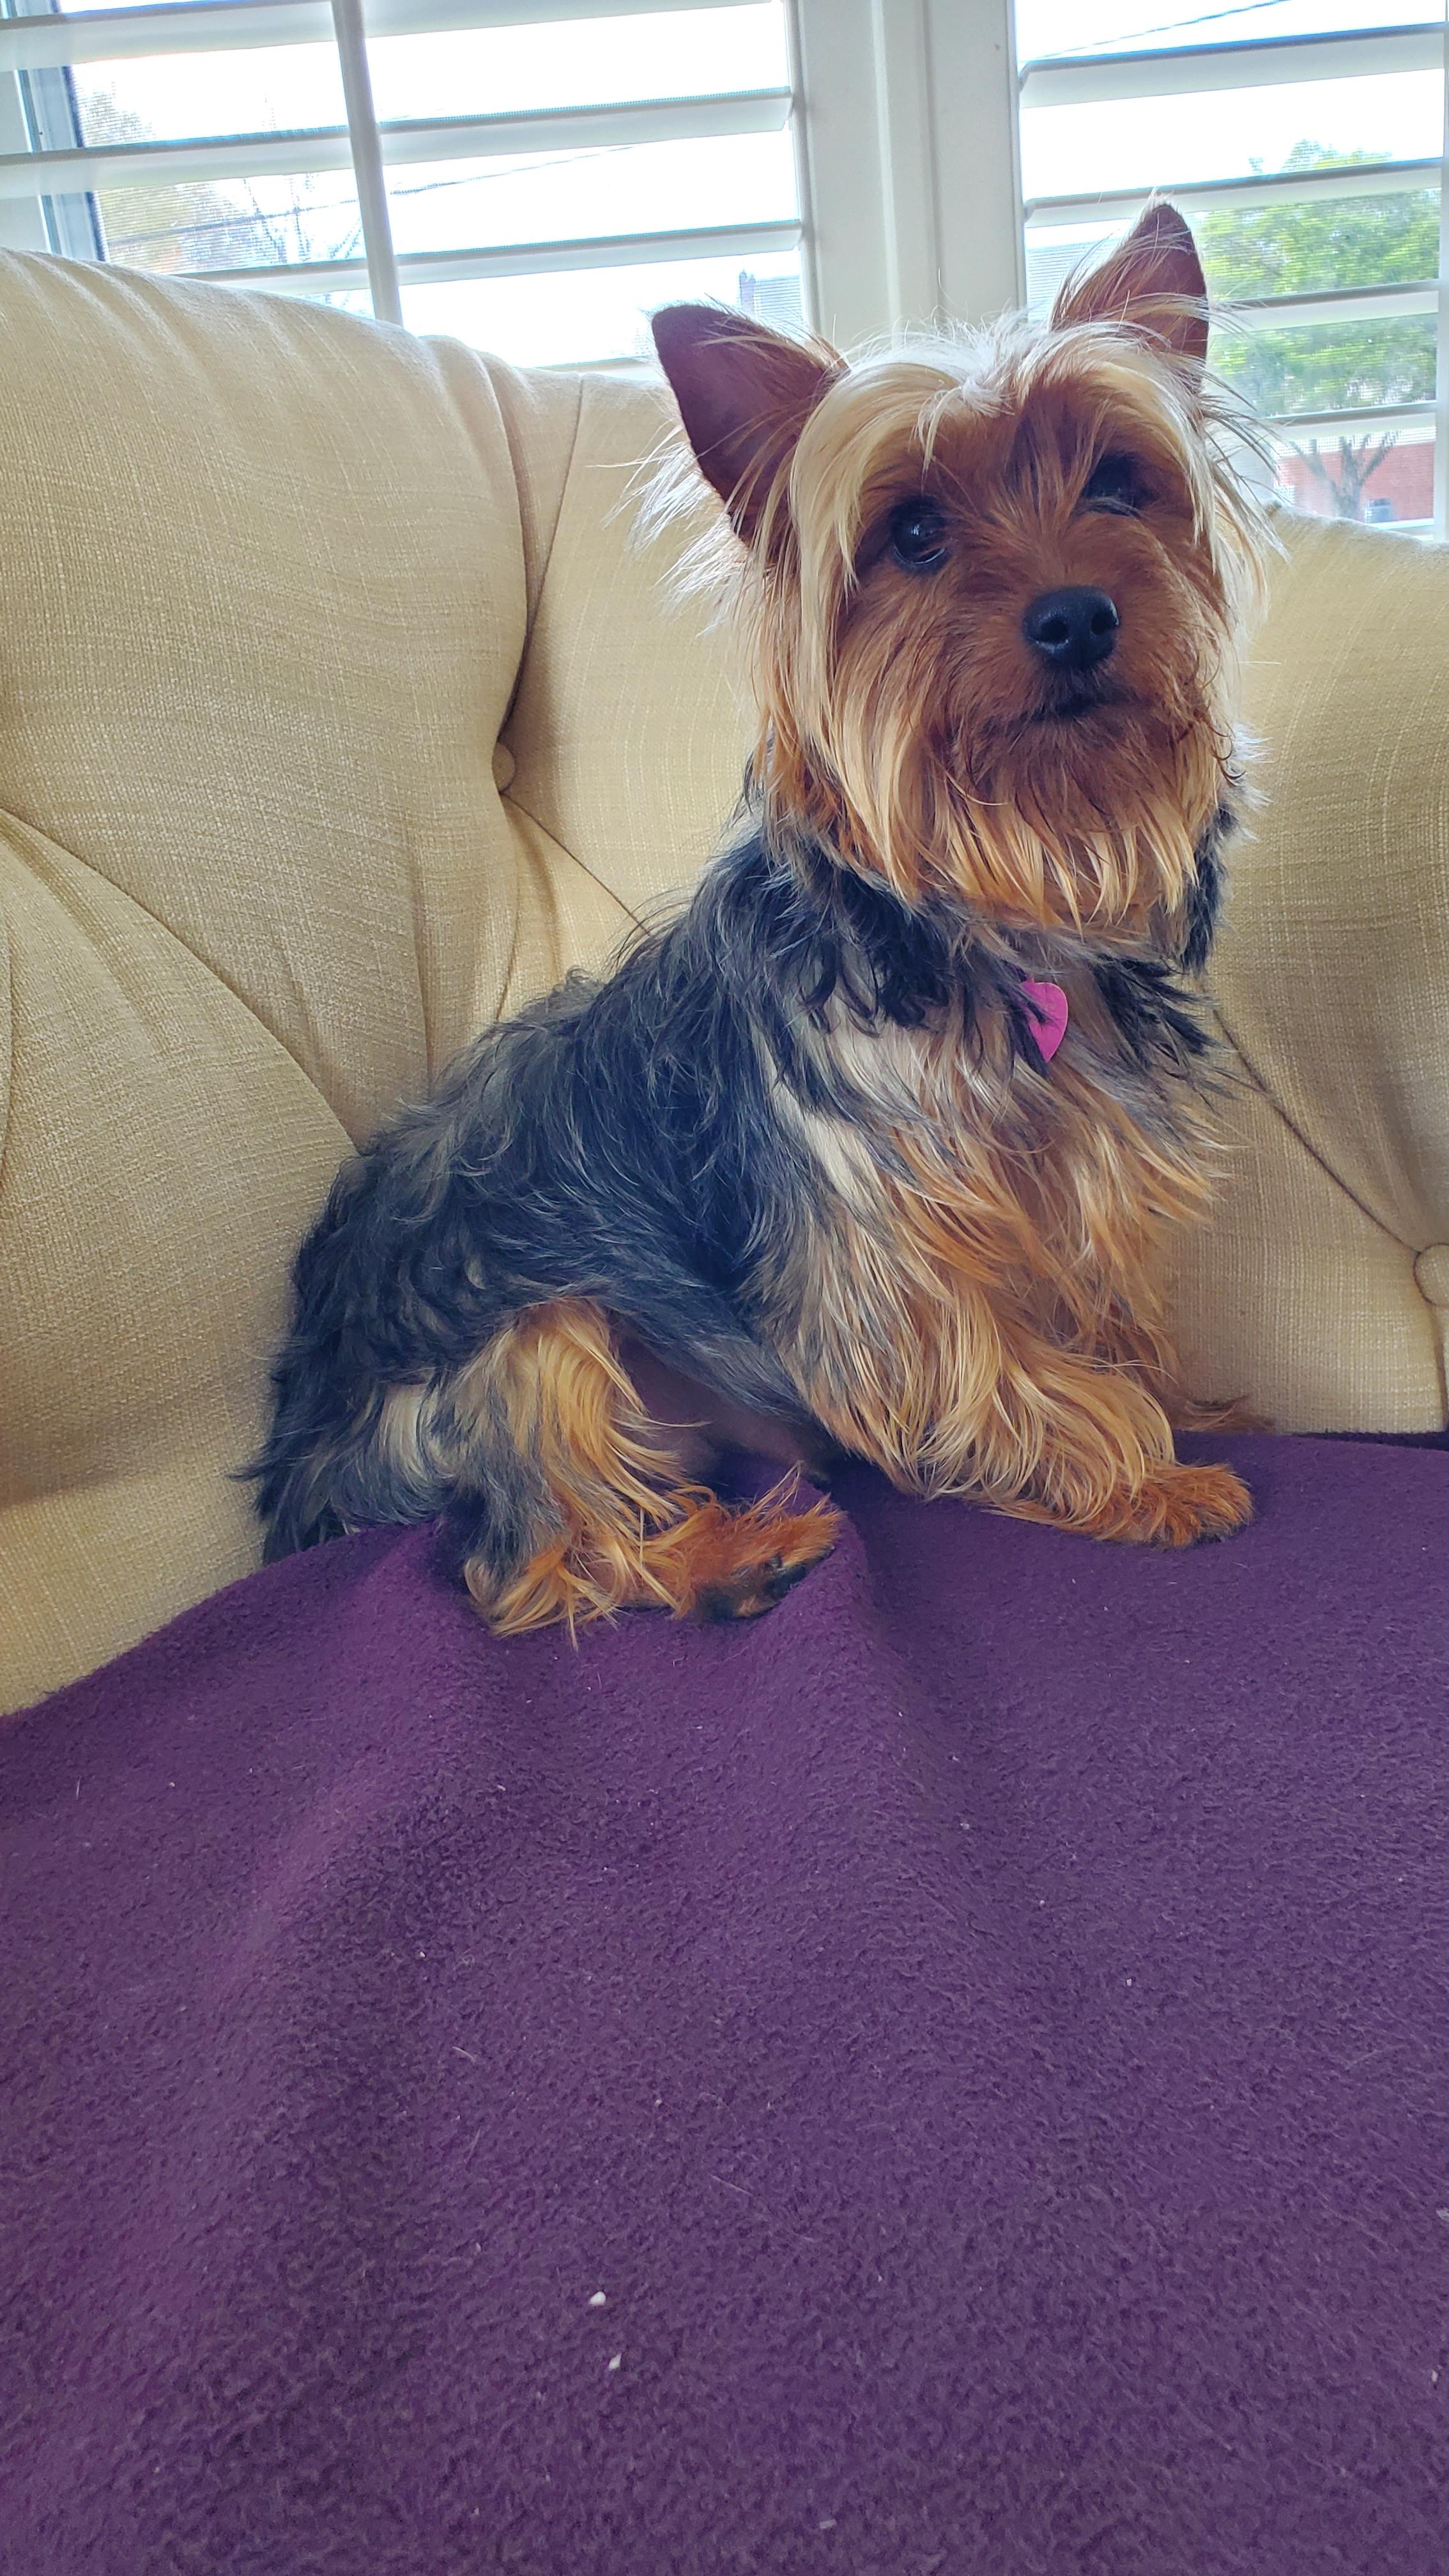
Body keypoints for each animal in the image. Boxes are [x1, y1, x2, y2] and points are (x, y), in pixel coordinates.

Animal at [250, 203, 1266, 1633]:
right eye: (912, 534)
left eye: (1119, 483)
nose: (1076, 614)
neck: (989, 920)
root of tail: (293, 1463)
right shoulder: (874, 1235)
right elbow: (994, 1367)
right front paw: (1141, 1476)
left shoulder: (1084, 1163)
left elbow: (1102, 1312)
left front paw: (1187, 1407)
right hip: (517, 1342)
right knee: (527, 1558)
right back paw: (728, 1560)